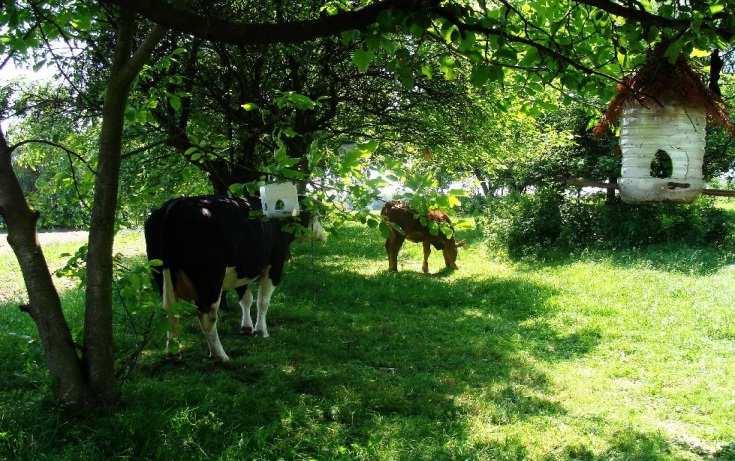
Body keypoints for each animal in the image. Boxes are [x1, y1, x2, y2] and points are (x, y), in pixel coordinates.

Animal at [145, 194, 326, 360]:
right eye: (316, 216)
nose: (323, 235)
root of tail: (176, 204)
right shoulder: (274, 265)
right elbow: (262, 302)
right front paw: (262, 330)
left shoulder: (241, 270)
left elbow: (246, 298)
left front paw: (247, 327)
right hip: (210, 279)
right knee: (207, 316)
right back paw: (220, 355)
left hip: (161, 273)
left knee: (171, 312)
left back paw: (173, 351)